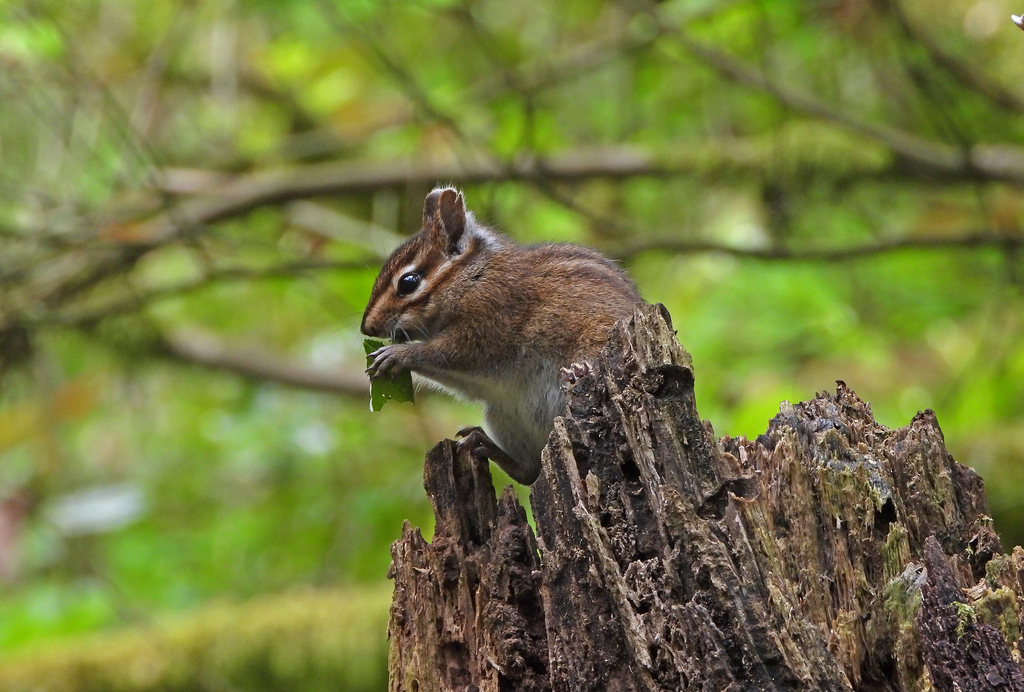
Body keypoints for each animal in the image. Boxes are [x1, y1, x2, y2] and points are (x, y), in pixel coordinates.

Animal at [362, 187, 642, 485]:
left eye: (409, 282)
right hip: (504, 414)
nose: (367, 328)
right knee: (528, 472)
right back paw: (483, 444)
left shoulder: (489, 323)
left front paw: (398, 354)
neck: (471, 277)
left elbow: (449, 352)